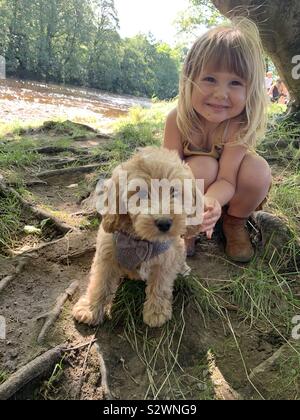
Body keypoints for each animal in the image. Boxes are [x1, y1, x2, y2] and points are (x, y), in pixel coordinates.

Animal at [72, 147, 203, 328]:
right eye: (140, 192)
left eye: (174, 191)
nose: (164, 223)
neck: (141, 240)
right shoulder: (106, 254)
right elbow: (100, 282)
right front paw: (90, 309)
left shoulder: (166, 260)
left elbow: (161, 285)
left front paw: (156, 312)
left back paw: (183, 268)